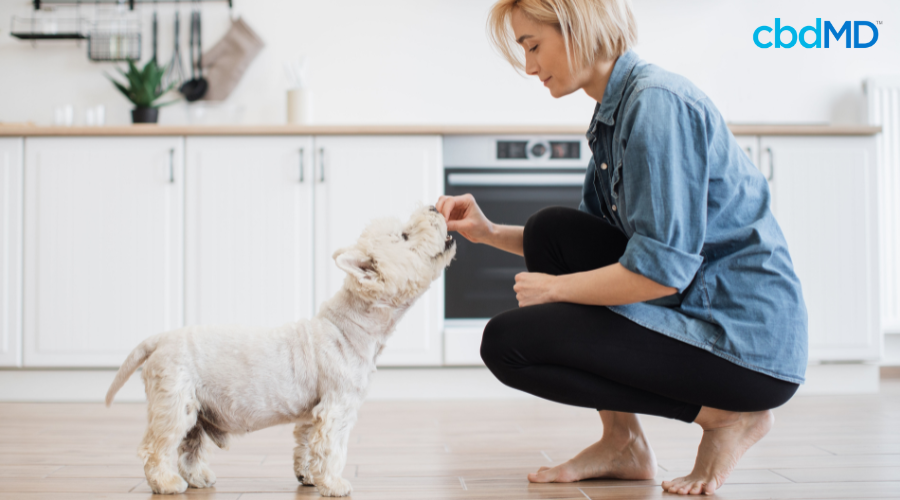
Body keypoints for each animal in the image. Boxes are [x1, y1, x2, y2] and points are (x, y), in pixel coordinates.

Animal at [106, 204, 458, 496]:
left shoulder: (313, 411)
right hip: (174, 401)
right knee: (157, 446)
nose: (433, 206)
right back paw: (166, 483)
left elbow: (306, 444)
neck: (350, 326)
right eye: (405, 236)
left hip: (195, 407)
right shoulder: (338, 405)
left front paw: (308, 476)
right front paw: (334, 484)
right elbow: (332, 448)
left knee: (189, 445)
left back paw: (198, 478)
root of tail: (159, 339)